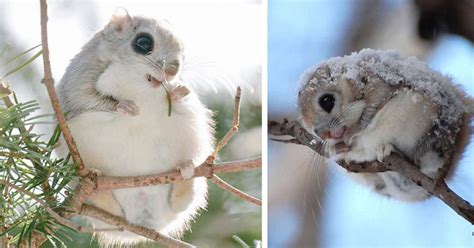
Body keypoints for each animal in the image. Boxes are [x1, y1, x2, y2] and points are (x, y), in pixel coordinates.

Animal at [55, 9, 213, 246]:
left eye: (183, 53)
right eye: (143, 42)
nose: (173, 70)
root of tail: (140, 225)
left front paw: (178, 91)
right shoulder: (80, 77)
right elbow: (84, 97)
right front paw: (123, 106)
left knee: (181, 203)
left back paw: (186, 170)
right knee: (107, 208)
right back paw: (96, 184)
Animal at [298, 48, 472, 202]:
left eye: (327, 101)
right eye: (312, 130)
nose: (323, 134)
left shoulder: (377, 86)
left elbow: (370, 110)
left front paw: (353, 133)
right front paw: (334, 148)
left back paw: (387, 149)